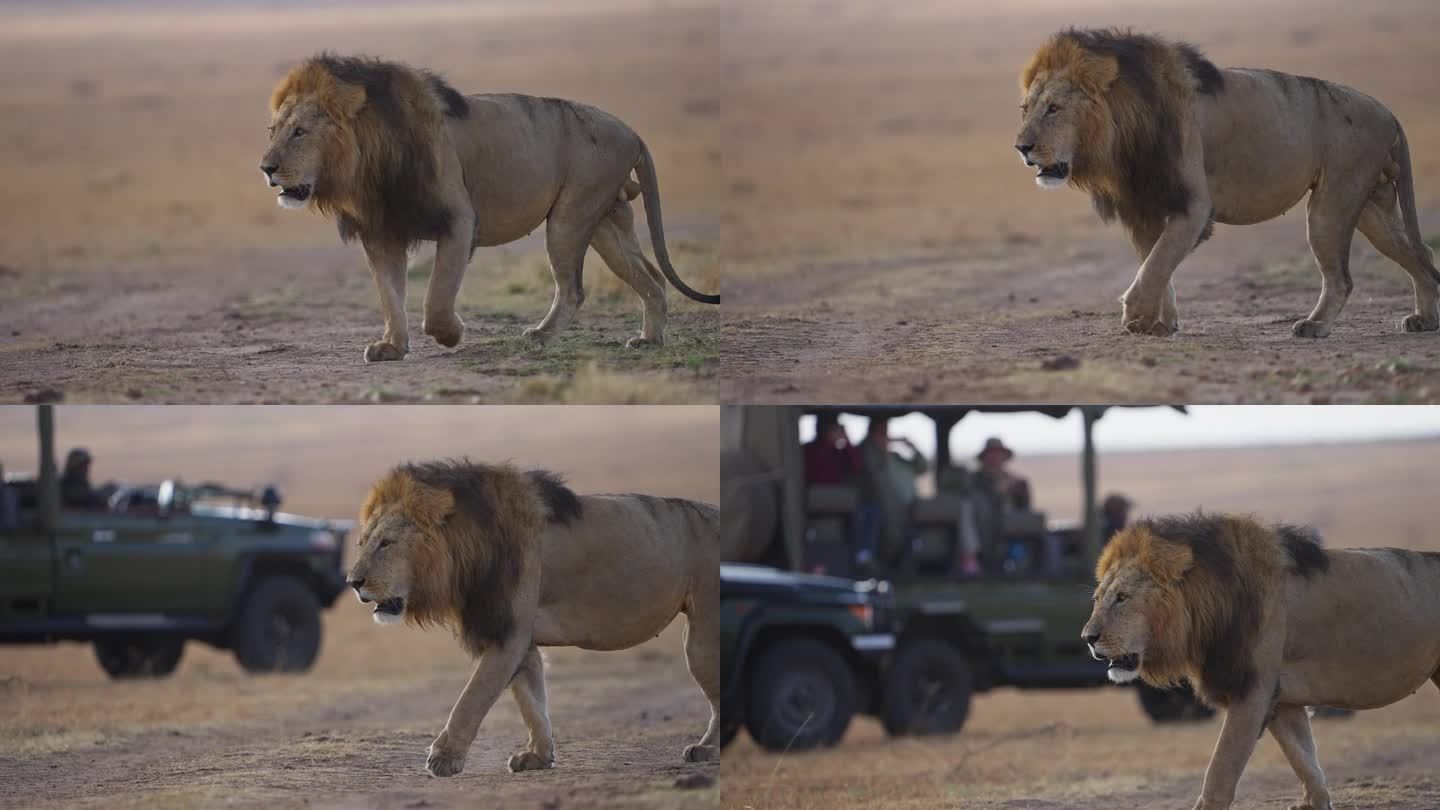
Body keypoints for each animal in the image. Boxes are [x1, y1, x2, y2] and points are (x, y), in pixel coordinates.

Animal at [260, 53, 720, 358]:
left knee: (573, 287)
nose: (266, 168)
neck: (367, 164)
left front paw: (450, 335)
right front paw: (392, 346)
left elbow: (437, 297)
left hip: (571, 215)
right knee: (652, 280)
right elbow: (390, 295)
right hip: (608, 221)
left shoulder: (459, 219)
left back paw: (542, 336)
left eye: (300, 132)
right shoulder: (381, 231)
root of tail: (632, 132)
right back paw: (649, 340)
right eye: (272, 131)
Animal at [344, 458, 725, 772]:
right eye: (362, 543)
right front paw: (539, 756)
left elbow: (472, 697)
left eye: (387, 543)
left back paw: (707, 750)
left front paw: (444, 757)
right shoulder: (518, 638)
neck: (467, 552)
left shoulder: (507, 634)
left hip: (703, 634)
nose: (352, 582)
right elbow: (531, 701)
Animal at [1013, 28, 1440, 337]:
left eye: (1054, 108)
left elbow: (1158, 262)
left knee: (1343, 278)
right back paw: (1424, 320)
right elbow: (1156, 263)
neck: (1120, 135)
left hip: (1332, 202)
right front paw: (1160, 323)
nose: (1022, 147)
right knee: (1420, 255)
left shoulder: (1193, 205)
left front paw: (1135, 315)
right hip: (1369, 207)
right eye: (1025, 109)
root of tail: (1388, 112)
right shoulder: (1145, 205)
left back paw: (1314, 326)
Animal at [1082, 510, 1440, 807]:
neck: (1208, 608)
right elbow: (1307, 763)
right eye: (1097, 598)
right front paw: (1315, 801)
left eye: (1122, 598)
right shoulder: (1282, 700)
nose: (1088, 638)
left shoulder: (1252, 691)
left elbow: (1220, 773)